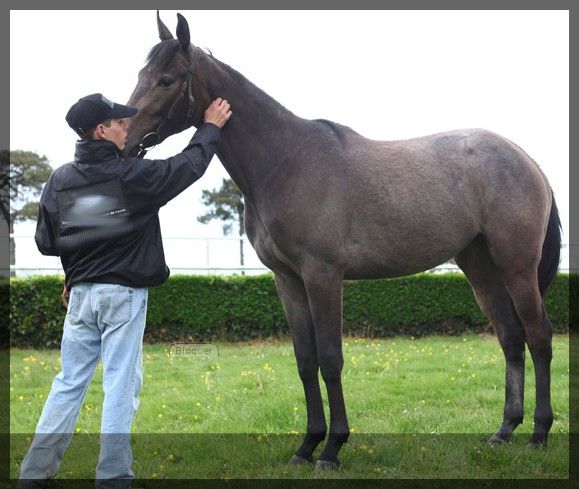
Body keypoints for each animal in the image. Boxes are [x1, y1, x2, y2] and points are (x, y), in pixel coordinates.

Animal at [124, 12, 561, 470]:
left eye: (166, 80)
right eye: (141, 74)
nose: (123, 136)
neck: (286, 162)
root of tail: (525, 159)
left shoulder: (323, 276)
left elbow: (331, 359)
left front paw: (332, 448)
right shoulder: (288, 281)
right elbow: (305, 360)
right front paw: (306, 446)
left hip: (516, 266)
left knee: (539, 336)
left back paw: (539, 434)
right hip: (479, 266)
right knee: (511, 337)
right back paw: (504, 430)